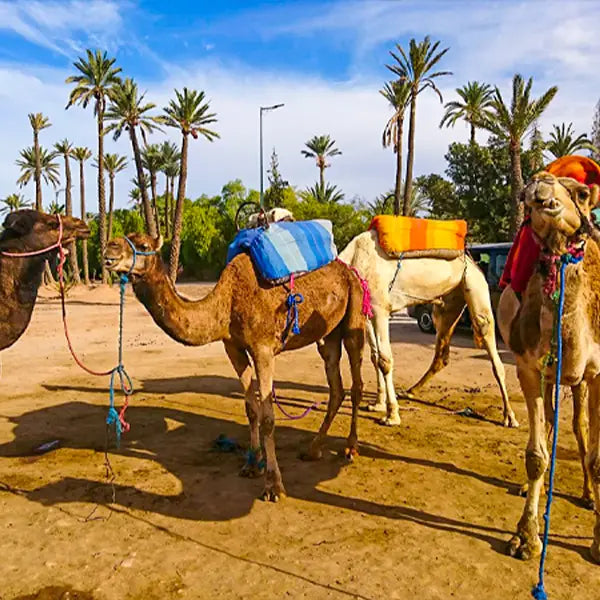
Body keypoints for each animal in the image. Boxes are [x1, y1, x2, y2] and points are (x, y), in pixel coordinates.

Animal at [103, 233, 366, 502]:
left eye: (143, 246)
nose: (109, 250)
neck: (227, 303)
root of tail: (349, 271)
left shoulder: (263, 349)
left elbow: (268, 418)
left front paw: (273, 486)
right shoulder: (233, 347)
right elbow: (251, 409)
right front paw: (252, 465)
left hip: (355, 314)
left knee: (356, 381)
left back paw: (350, 447)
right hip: (327, 334)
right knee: (336, 385)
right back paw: (313, 450)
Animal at [340, 227, 516, 428]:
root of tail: (472, 260)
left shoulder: (380, 308)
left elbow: (385, 360)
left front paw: (392, 415)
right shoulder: (368, 312)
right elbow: (375, 357)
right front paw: (377, 404)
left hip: (474, 285)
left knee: (488, 337)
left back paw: (509, 417)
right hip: (446, 305)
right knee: (442, 353)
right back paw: (410, 391)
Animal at [496, 172, 600, 564]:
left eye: (582, 193)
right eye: (526, 193)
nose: (542, 192)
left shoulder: (597, 373)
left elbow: (597, 459)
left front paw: (597, 543)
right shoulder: (530, 368)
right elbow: (535, 456)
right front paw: (526, 538)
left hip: (579, 380)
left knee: (579, 426)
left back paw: (587, 495)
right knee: (555, 423)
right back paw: (530, 490)